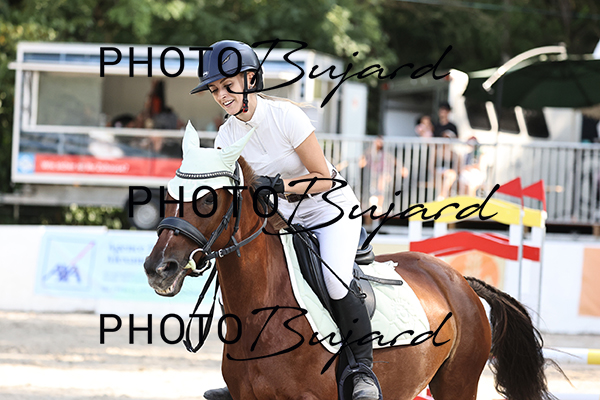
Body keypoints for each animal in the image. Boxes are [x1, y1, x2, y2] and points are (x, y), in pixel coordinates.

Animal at [144, 146, 554, 400]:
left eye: (208, 199)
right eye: (169, 193)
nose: (157, 268)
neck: (264, 309)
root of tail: (459, 281)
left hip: (458, 383)